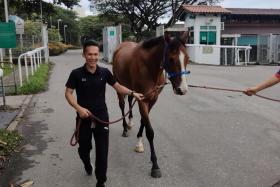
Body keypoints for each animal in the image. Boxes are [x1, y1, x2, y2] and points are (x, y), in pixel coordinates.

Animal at [112, 32, 189, 178]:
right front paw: (155, 166)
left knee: (130, 100)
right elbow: (150, 131)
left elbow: (143, 121)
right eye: (171, 59)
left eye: (187, 58)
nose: (182, 89)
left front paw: (139, 142)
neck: (149, 67)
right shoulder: (143, 100)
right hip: (119, 85)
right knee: (122, 105)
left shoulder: (153, 99)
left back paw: (130, 123)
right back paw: (125, 128)